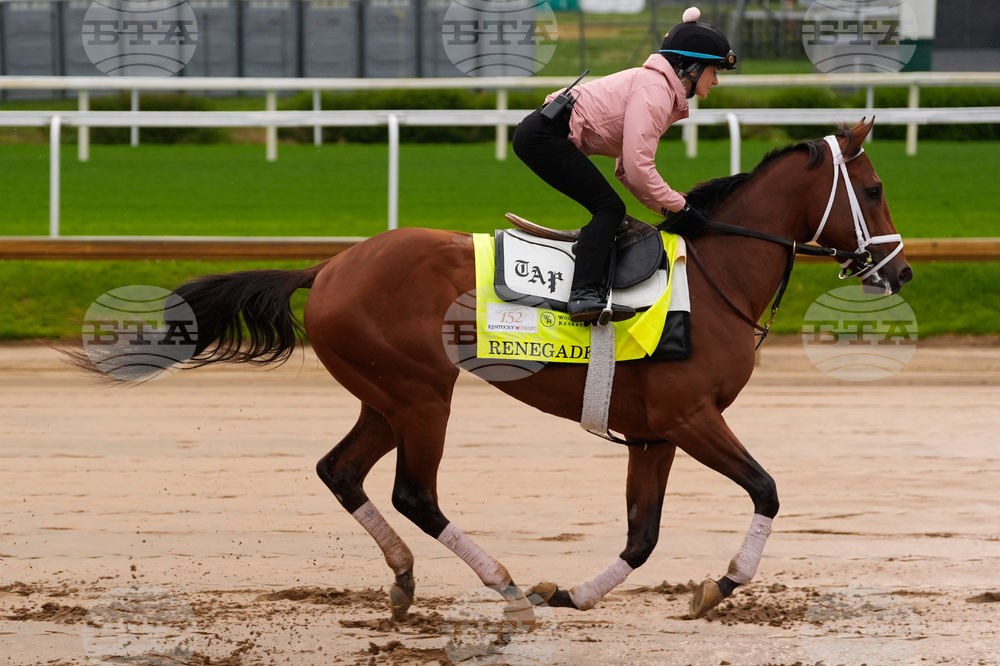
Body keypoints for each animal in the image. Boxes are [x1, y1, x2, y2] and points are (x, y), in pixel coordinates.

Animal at [71, 119, 911, 623]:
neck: (712, 281)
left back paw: (405, 580)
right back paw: (501, 582)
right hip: (422, 395)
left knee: (340, 471)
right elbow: (767, 488)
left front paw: (573, 592)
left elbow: (642, 535)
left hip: (387, 396)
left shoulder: (654, 434)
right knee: (413, 492)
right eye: (872, 189)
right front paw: (723, 582)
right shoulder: (691, 417)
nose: (899, 271)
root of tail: (331, 264)